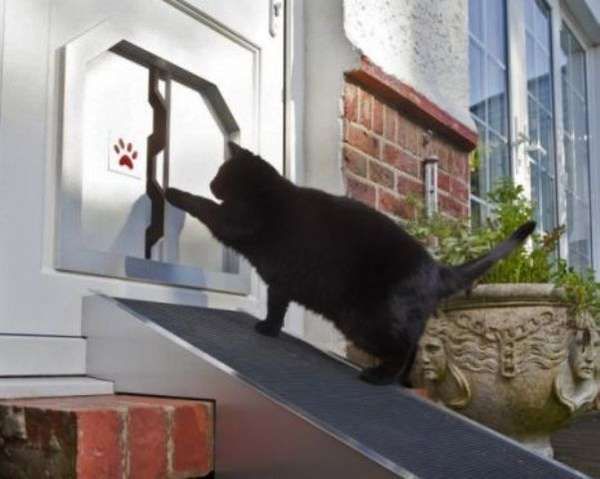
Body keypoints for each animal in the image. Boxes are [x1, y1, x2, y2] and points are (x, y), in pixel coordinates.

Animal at [165, 142, 536, 386]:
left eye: (220, 173)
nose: (212, 182)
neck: (264, 189)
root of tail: (436, 268)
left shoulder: (235, 222)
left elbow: (204, 206)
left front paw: (172, 192)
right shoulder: (282, 281)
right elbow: (277, 306)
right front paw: (270, 328)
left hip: (364, 320)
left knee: (405, 347)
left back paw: (380, 377)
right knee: (415, 347)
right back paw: (402, 382)